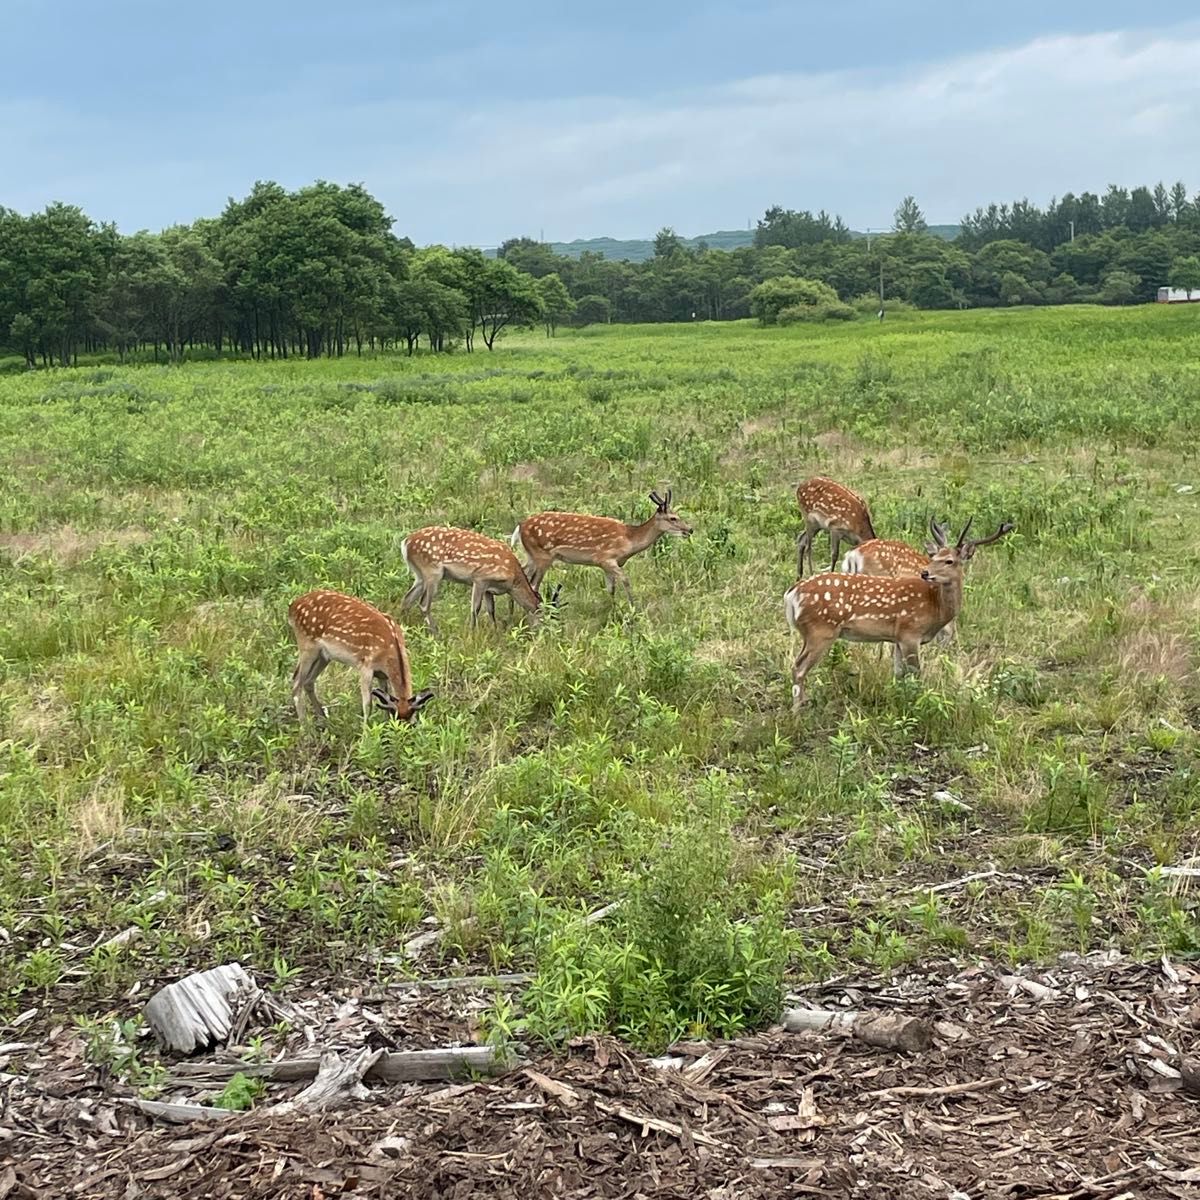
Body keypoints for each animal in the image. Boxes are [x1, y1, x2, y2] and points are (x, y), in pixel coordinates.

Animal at [288, 588, 434, 720]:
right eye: (397, 716)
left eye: (411, 720)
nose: (401, 730)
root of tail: (292, 607)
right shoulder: (365, 666)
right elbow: (367, 705)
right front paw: (366, 732)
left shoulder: (382, 675)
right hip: (307, 645)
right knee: (296, 682)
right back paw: (305, 726)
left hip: (324, 655)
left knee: (308, 681)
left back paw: (323, 720)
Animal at [400, 528, 554, 638]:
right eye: (543, 615)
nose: (544, 634)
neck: (512, 581)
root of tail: (406, 543)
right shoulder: (480, 578)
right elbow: (475, 608)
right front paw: (472, 633)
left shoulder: (489, 589)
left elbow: (491, 610)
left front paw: (495, 632)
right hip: (432, 572)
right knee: (423, 603)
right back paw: (436, 633)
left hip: (420, 575)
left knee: (407, 599)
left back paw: (405, 626)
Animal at [516, 487, 696, 604]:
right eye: (673, 518)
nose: (690, 529)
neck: (629, 540)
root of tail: (520, 526)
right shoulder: (605, 558)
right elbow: (626, 580)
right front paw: (633, 607)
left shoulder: (608, 565)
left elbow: (611, 589)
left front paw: (612, 610)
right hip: (543, 555)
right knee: (533, 585)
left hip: (531, 555)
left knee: (522, 574)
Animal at [782, 518, 1008, 705]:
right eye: (934, 557)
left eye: (949, 560)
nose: (925, 573)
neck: (935, 608)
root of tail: (792, 594)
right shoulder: (910, 633)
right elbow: (916, 674)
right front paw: (918, 703)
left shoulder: (898, 638)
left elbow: (898, 674)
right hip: (821, 631)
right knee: (798, 668)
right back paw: (798, 710)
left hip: (811, 633)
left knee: (796, 665)